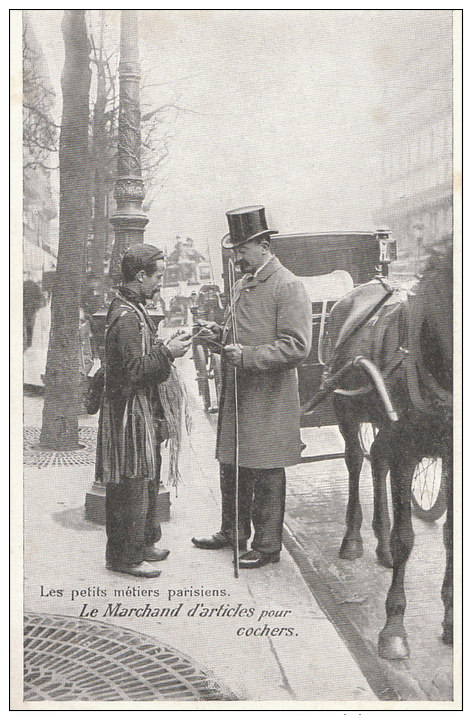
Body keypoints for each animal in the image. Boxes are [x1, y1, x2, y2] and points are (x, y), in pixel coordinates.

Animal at [304, 239, 452, 660]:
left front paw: (450, 621)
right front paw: (394, 627)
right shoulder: (407, 451)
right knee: (357, 461)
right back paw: (354, 539)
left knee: (377, 461)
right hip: (345, 407)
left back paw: (380, 544)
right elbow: (407, 539)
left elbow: (451, 537)